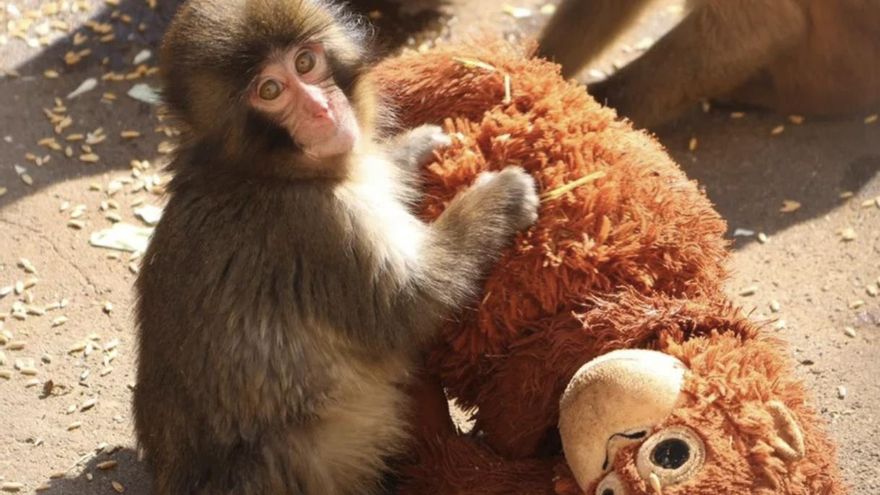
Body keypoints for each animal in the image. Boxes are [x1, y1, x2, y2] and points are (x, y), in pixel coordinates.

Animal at [132, 1, 539, 494]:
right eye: (270, 90)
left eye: (306, 62)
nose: (322, 109)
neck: (263, 171)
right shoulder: (317, 226)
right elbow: (407, 304)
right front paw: (499, 198)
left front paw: (412, 148)